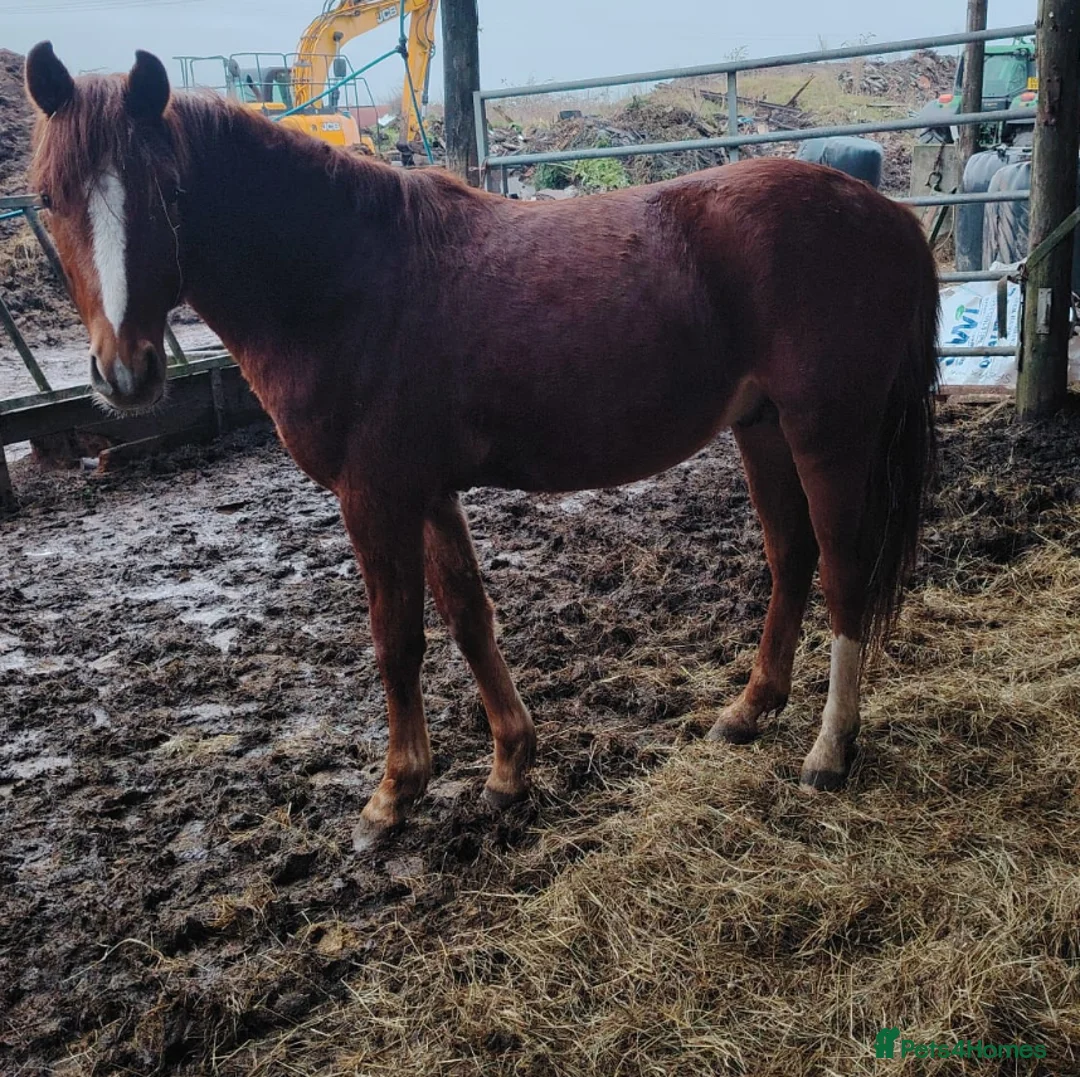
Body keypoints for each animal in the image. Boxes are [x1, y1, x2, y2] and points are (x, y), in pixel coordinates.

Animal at [25, 43, 939, 850]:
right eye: (47, 197)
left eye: (172, 191)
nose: (126, 372)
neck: (347, 276)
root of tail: (890, 216)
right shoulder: (428, 491)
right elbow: (469, 617)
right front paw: (508, 767)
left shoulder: (374, 496)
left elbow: (397, 639)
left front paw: (392, 795)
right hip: (763, 429)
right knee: (791, 558)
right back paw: (749, 710)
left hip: (828, 432)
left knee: (844, 573)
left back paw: (829, 751)